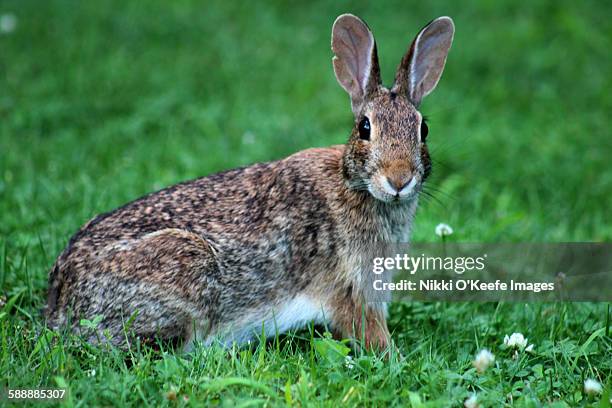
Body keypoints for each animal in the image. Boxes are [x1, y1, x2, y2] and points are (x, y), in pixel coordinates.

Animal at [44, 12, 454, 350]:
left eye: (424, 129)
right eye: (365, 128)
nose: (399, 179)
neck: (353, 183)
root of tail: (59, 302)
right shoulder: (351, 289)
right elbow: (370, 333)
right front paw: (395, 358)